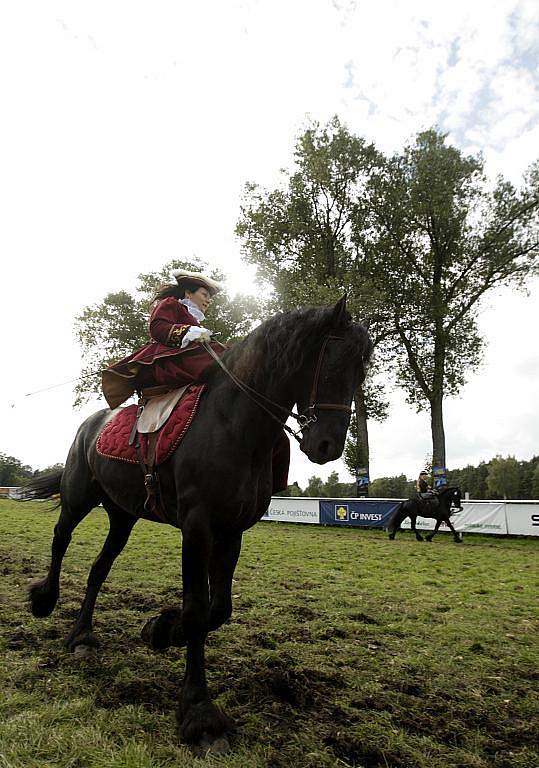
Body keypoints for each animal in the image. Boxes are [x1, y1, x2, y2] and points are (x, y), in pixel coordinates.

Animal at [23, 298, 374, 756]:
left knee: (98, 569)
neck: (233, 425)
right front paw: (199, 713)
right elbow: (196, 609)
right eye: (330, 364)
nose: (327, 447)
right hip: (79, 498)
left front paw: (160, 629)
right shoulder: (197, 527)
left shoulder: (231, 531)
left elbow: (217, 609)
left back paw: (82, 635)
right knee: (60, 541)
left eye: (360, 372)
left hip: (123, 515)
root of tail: (92, 423)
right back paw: (44, 600)